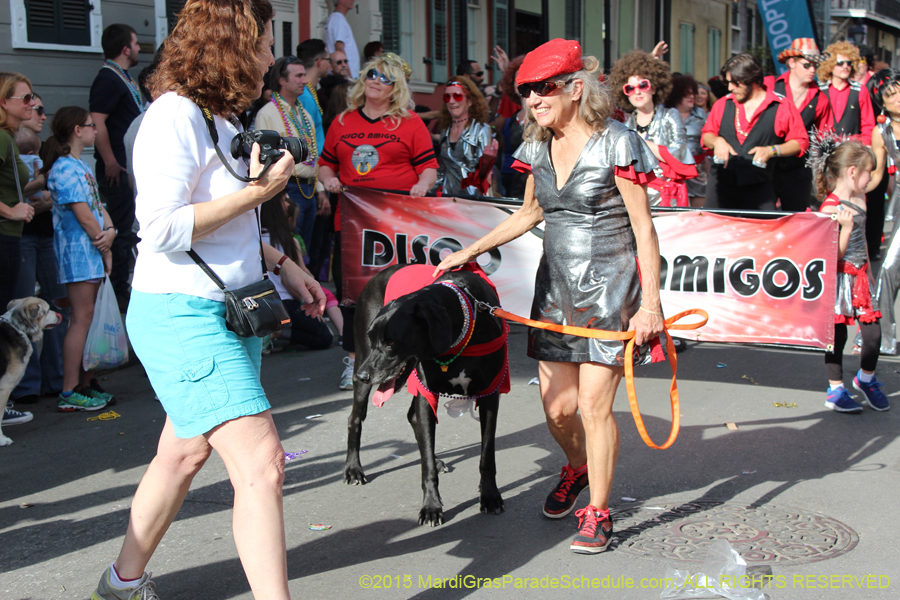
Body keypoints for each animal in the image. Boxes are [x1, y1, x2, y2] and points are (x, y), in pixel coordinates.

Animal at [344, 264, 510, 524]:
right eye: (373, 338)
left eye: (391, 343)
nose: (362, 375)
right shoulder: (426, 393)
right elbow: (426, 465)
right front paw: (431, 506)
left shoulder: (490, 395)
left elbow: (487, 455)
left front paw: (490, 495)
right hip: (363, 362)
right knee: (355, 418)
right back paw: (353, 469)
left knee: (412, 418)